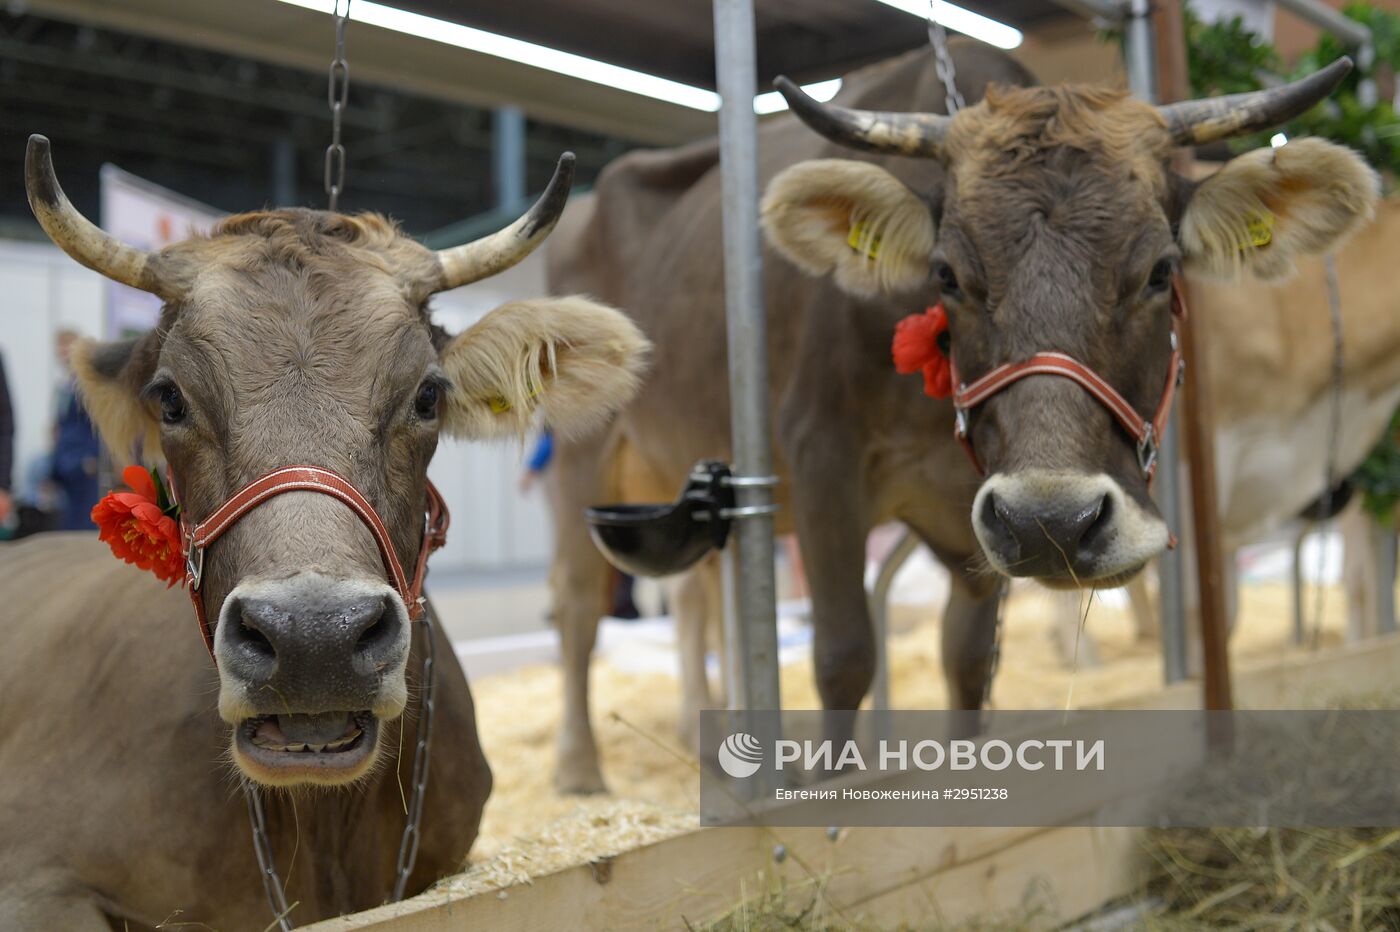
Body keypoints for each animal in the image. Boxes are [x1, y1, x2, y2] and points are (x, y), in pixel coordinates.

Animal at [543, 41, 1377, 783]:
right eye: (946, 274)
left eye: (1160, 270)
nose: (1054, 521)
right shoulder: (820, 462)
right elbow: (845, 654)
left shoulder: (973, 521)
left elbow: (969, 662)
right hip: (583, 454)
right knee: (579, 606)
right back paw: (579, 768)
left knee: (693, 596)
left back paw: (701, 731)